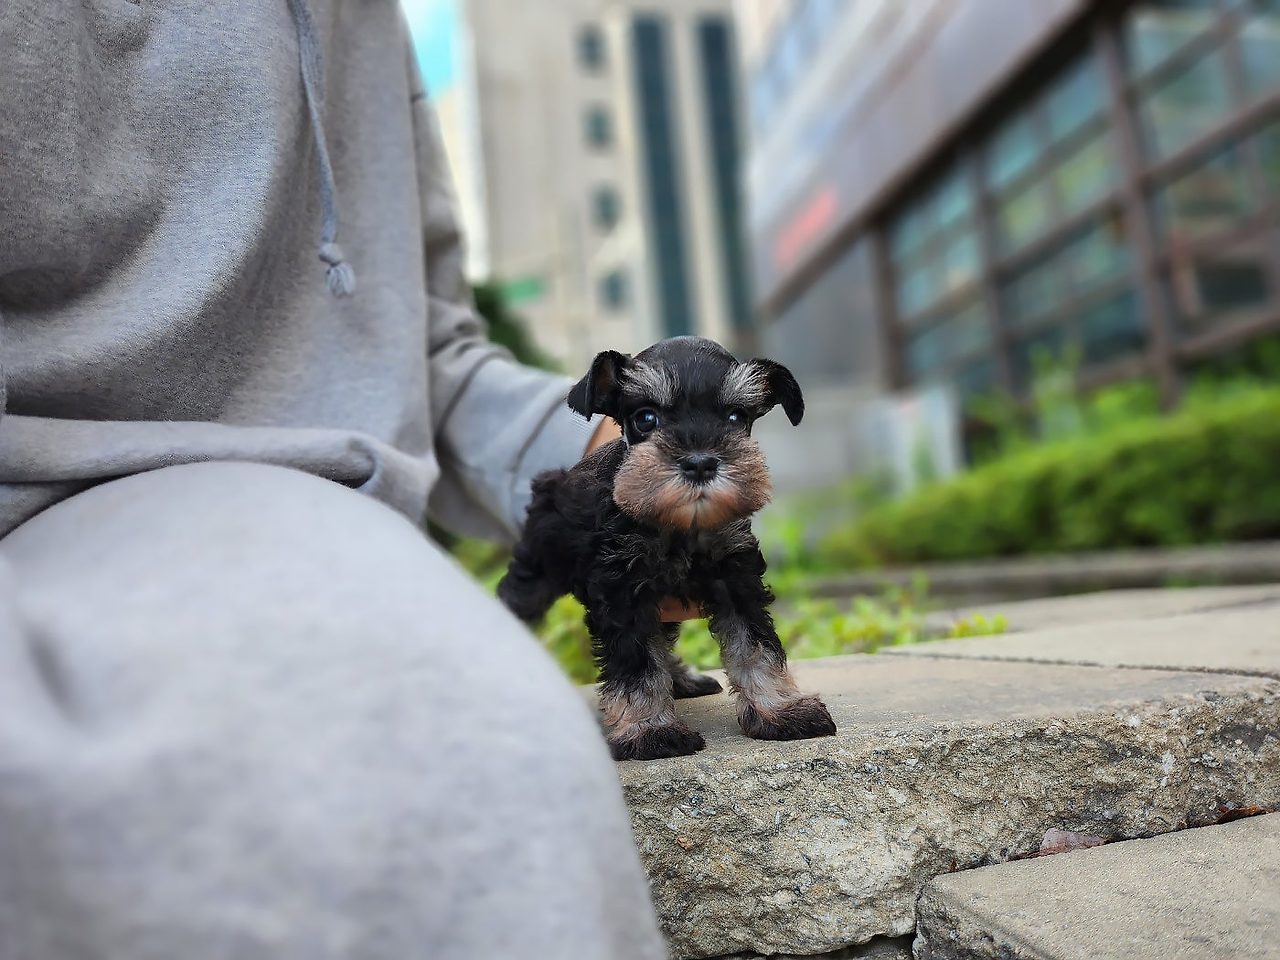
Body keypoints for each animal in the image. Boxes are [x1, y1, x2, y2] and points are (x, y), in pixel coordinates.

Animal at [498, 336, 837, 761]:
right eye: (646, 418)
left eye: (735, 418)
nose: (700, 463)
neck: (682, 527)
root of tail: (557, 478)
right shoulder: (623, 590)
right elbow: (638, 662)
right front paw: (649, 730)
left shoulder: (737, 577)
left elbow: (757, 645)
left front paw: (780, 709)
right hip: (536, 573)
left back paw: (681, 679)